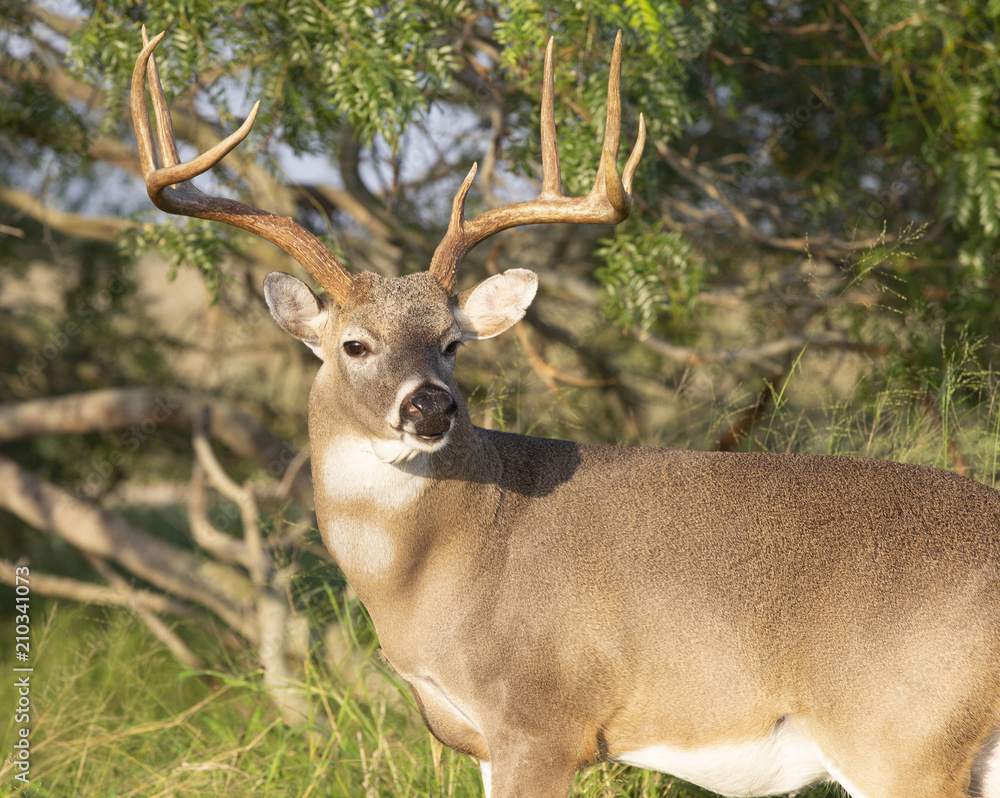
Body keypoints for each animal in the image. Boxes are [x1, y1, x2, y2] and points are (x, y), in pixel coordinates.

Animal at [131, 27, 1000, 798]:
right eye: (355, 344)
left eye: (451, 342)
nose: (431, 407)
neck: (443, 567)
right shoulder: (486, 740)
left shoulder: (542, 718)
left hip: (899, 736)